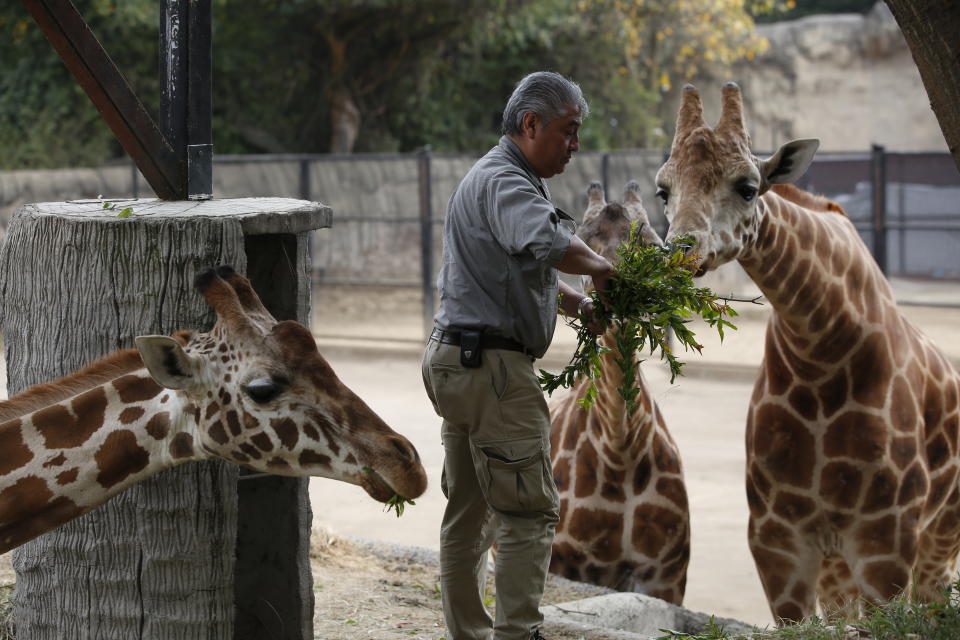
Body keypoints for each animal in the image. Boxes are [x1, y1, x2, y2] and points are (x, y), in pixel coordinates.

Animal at [548, 181, 688, 604]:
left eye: (650, 242)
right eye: (583, 238)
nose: (618, 292)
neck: (620, 450)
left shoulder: (665, 575)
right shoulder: (565, 564)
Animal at [656, 82, 960, 624]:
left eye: (748, 187)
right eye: (662, 191)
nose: (681, 252)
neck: (819, 353)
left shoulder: (886, 539)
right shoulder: (777, 537)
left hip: (938, 539)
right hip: (839, 562)